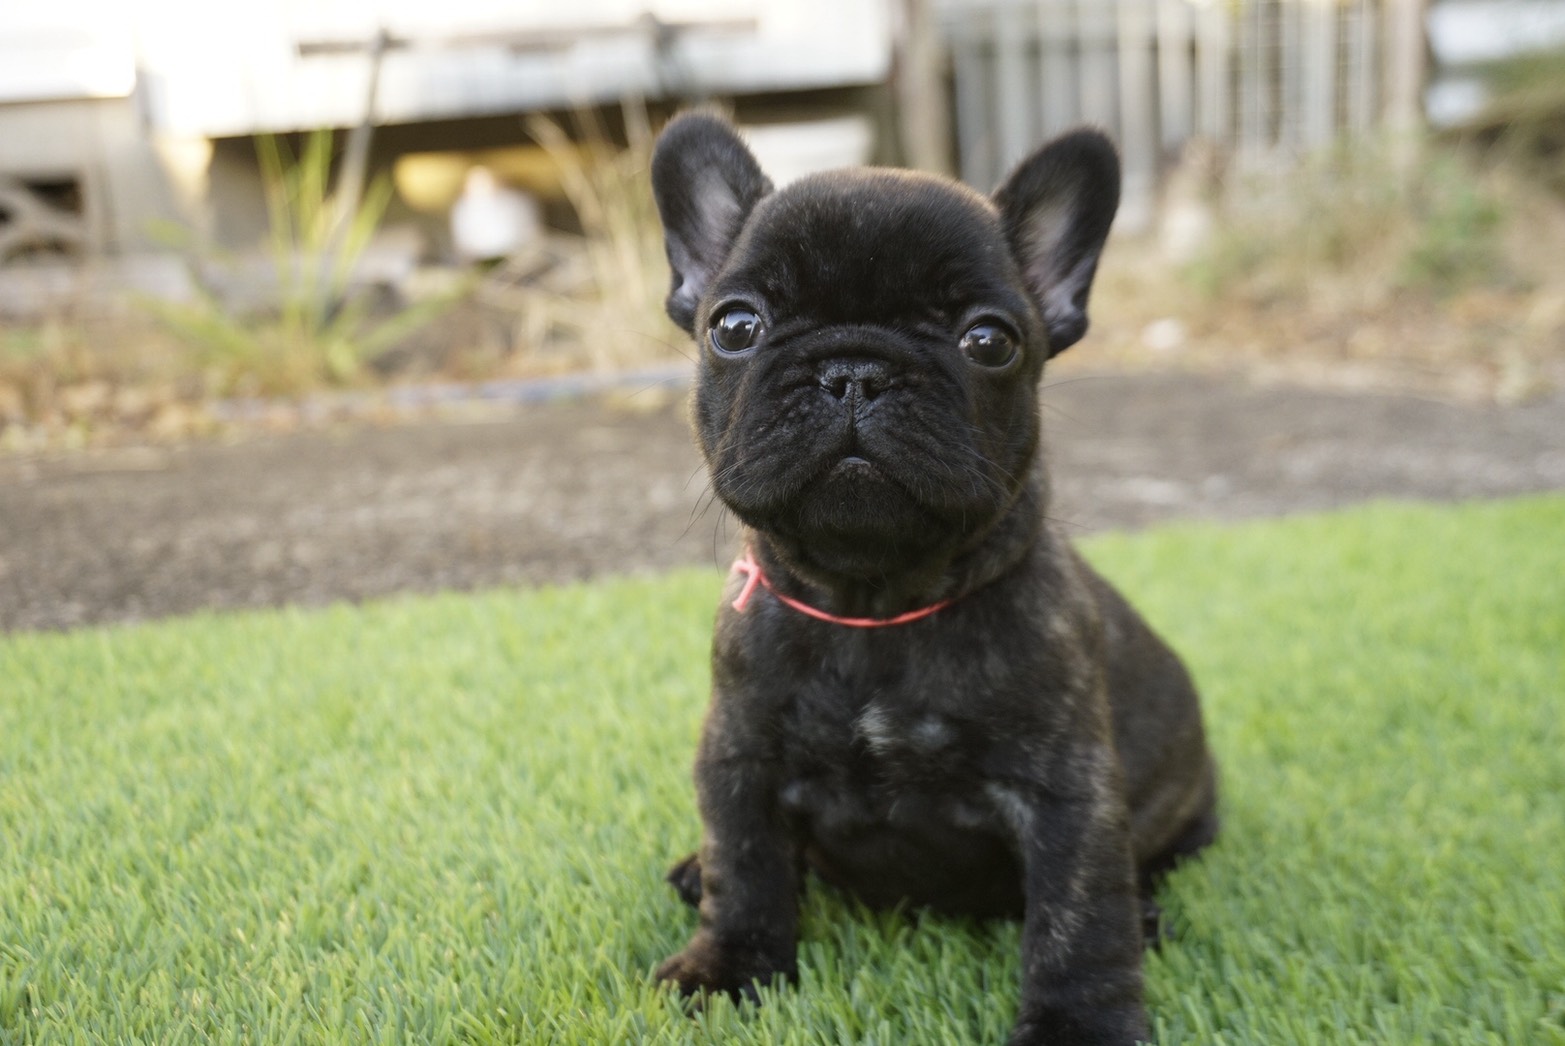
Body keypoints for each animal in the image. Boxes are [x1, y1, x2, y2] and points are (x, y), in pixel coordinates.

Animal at [648, 111, 1218, 1046]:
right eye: (734, 326)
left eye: (988, 340)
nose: (854, 370)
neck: (873, 605)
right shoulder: (737, 756)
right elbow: (746, 867)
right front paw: (725, 967)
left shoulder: (1068, 792)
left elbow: (1075, 919)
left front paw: (1079, 1026)